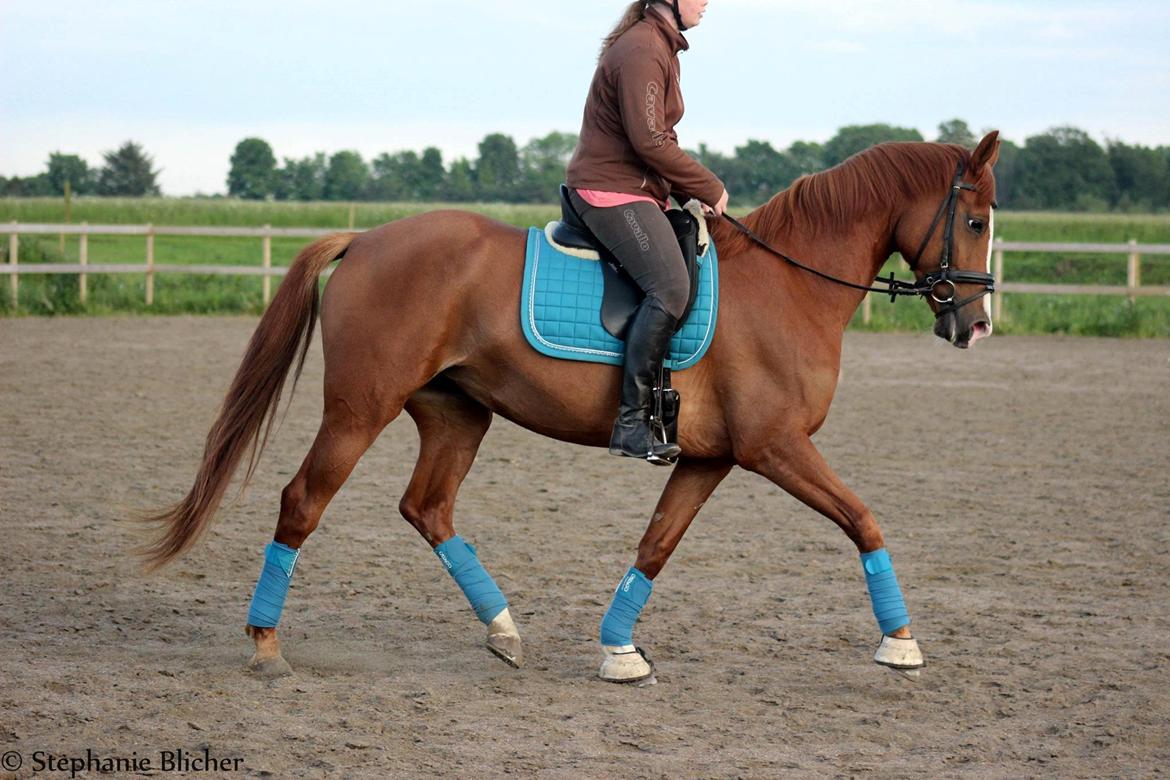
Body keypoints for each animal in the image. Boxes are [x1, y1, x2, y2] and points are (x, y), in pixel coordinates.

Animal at [146, 130, 1001, 678]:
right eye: (975, 219)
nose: (976, 324)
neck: (790, 284)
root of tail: (366, 239)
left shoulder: (712, 458)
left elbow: (656, 546)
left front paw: (619, 650)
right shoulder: (776, 447)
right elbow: (864, 520)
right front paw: (902, 644)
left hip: (457, 414)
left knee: (428, 509)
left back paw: (503, 631)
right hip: (360, 410)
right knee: (303, 502)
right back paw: (264, 644)